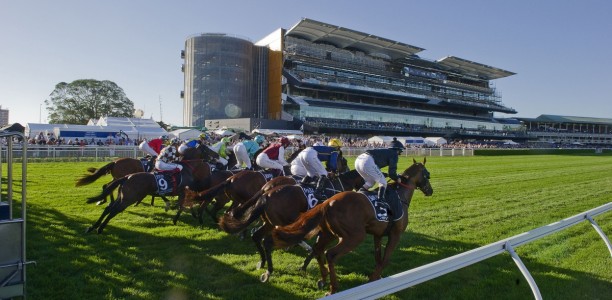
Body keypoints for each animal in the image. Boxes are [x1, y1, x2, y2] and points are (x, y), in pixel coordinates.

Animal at [218, 170, 366, 282]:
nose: (364, 188)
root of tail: (266, 193)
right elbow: (315, 247)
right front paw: (304, 265)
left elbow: (315, 247)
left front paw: (303, 265)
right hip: (283, 222)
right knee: (268, 240)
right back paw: (269, 271)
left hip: (270, 223)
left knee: (257, 236)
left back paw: (262, 262)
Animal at [270, 158, 432, 294]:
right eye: (427, 175)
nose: (430, 190)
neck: (400, 196)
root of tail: (327, 203)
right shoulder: (395, 234)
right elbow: (385, 259)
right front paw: (373, 278)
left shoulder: (378, 234)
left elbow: (378, 258)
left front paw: (377, 278)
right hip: (354, 236)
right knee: (330, 254)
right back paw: (333, 287)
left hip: (328, 233)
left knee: (317, 249)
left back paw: (322, 279)